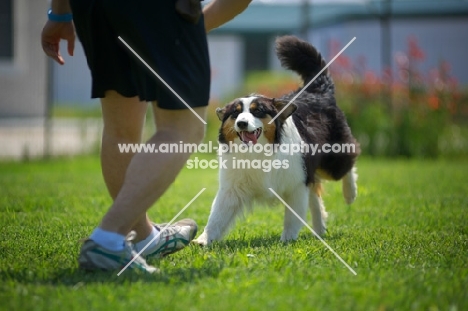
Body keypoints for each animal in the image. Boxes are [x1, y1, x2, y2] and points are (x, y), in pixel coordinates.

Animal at [193, 36, 358, 246]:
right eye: (235, 113)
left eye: (258, 111)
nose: (241, 123)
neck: (258, 153)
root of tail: (318, 90)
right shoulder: (231, 188)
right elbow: (217, 216)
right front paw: (203, 240)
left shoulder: (296, 184)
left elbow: (292, 217)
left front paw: (287, 240)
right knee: (315, 195)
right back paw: (320, 229)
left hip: (332, 160)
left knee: (349, 161)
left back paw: (350, 194)